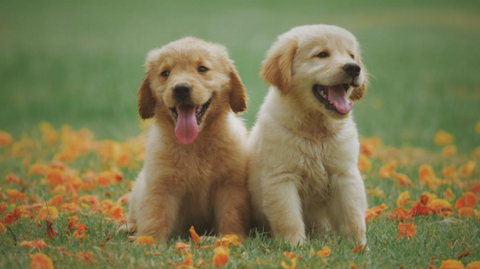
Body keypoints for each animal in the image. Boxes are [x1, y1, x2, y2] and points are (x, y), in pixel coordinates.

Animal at [249, 25, 370, 245]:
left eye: (351, 55)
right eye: (321, 55)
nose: (354, 68)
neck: (315, 129)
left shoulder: (344, 174)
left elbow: (353, 215)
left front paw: (359, 246)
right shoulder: (282, 177)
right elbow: (288, 217)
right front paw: (294, 246)